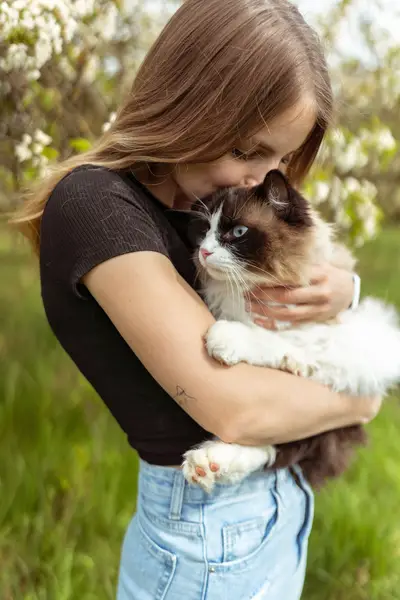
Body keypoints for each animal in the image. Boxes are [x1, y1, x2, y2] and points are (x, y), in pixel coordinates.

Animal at [180, 169, 400, 492]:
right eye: (205, 229)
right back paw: (206, 465)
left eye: (238, 232)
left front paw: (224, 339)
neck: (249, 291)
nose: (204, 252)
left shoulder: (333, 350)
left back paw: (208, 463)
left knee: (280, 445)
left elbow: (271, 339)